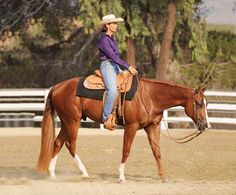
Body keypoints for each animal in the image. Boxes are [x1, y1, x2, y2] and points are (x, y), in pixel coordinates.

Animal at [36, 76, 210, 183]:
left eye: (206, 103)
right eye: (198, 103)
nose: (206, 125)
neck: (149, 96)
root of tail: (57, 87)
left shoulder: (152, 127)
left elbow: (157, 152)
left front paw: (163, 176)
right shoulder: (131, 126)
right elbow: (126, 150)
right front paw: (121, 176)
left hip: (67, 122)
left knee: (58, 143)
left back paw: (52, 174)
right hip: (72, 122)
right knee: (70, 144)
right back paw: (85, 173)